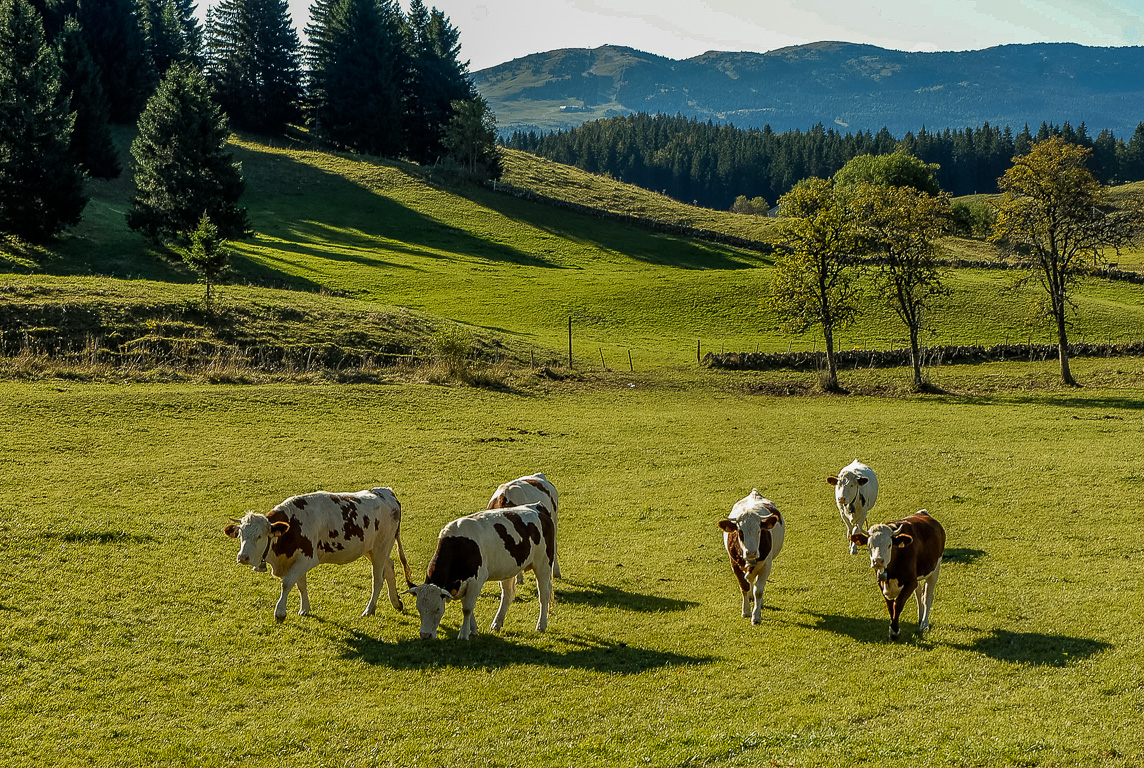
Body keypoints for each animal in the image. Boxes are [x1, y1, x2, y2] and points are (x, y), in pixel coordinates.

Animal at [220, 487, 414, 622]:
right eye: (241, 535)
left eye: (259, 536)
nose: (242, 557)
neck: (292, 527)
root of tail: (385, 492)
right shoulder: (296, 560)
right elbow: (301, 585)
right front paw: (304, 609)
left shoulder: (307, 559)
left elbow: (287, 583)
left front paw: (280, 612)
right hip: (372, 549)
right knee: (390, 566)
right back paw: (396, 602)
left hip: (381, 547)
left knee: (378, 579)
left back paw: (369, 609)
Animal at [404, 501, 555, 640]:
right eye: (419, 608)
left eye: (437, 609)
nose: (425, 635)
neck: (459, 545)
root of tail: (537, 506)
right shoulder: (462, 584)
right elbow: (467, 606)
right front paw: (473, 629)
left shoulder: (476, 580)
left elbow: (467, 608)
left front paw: (463, 634)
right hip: (508, 568)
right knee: (508, 594)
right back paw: (497, 623)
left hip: (543, 563)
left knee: (544, 594)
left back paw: (541, 625)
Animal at [713, 492, 787, 622]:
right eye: (740, 532)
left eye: (759, 531)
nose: (751, 552)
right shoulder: (734, 564)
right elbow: (744, 586)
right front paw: (746, 611)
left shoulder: (766, 565)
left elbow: (759, 590)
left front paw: (756, 616)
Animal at [851, 510, 947, 640]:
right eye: (869, 545)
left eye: (889, 545)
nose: (878, 561)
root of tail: (923, 513)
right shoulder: (881, 582)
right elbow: (890, 606)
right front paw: (892, 628)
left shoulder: (910, 582)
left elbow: (898, 604)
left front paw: (895, 631)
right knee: (919, 593)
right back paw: (920, 617)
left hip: (935, 569)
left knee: (927, 597)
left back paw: (924, 623)